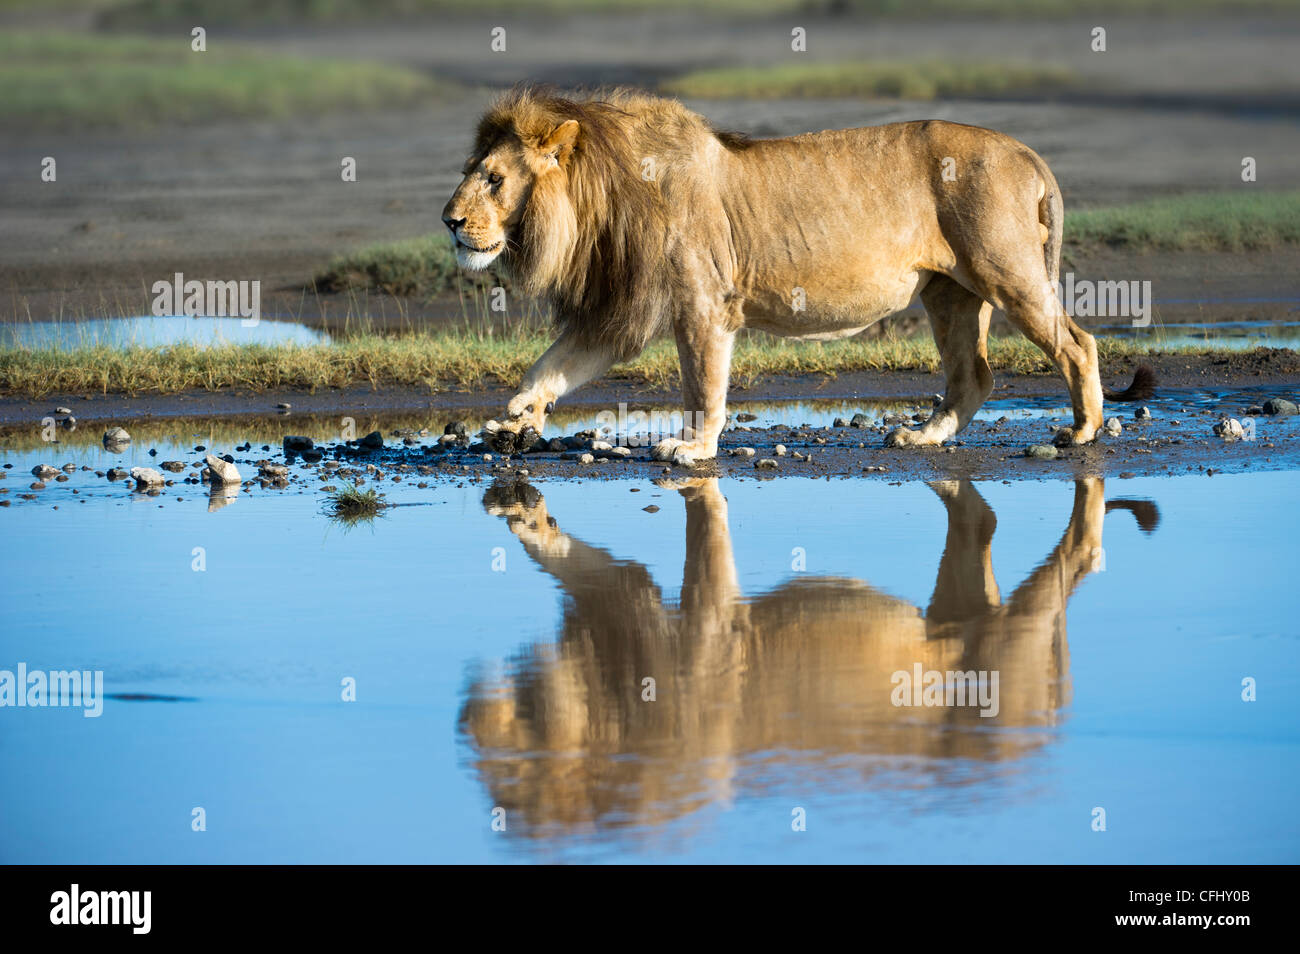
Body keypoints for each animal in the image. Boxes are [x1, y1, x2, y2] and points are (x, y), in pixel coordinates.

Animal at [441, 89, 1154, 467]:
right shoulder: (623, 312)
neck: (602, 193)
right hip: (950, 293)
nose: (449, 221)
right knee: (973, 375)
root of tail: (1026, 150)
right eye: (471, 171)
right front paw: (515, 417)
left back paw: (1082, 430)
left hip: (1007, 271)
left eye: (495, 180)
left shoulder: (701, 305)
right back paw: (923, 435)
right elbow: (551, 364)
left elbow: (703, 388)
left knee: (1077, 344)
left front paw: (693, 447)